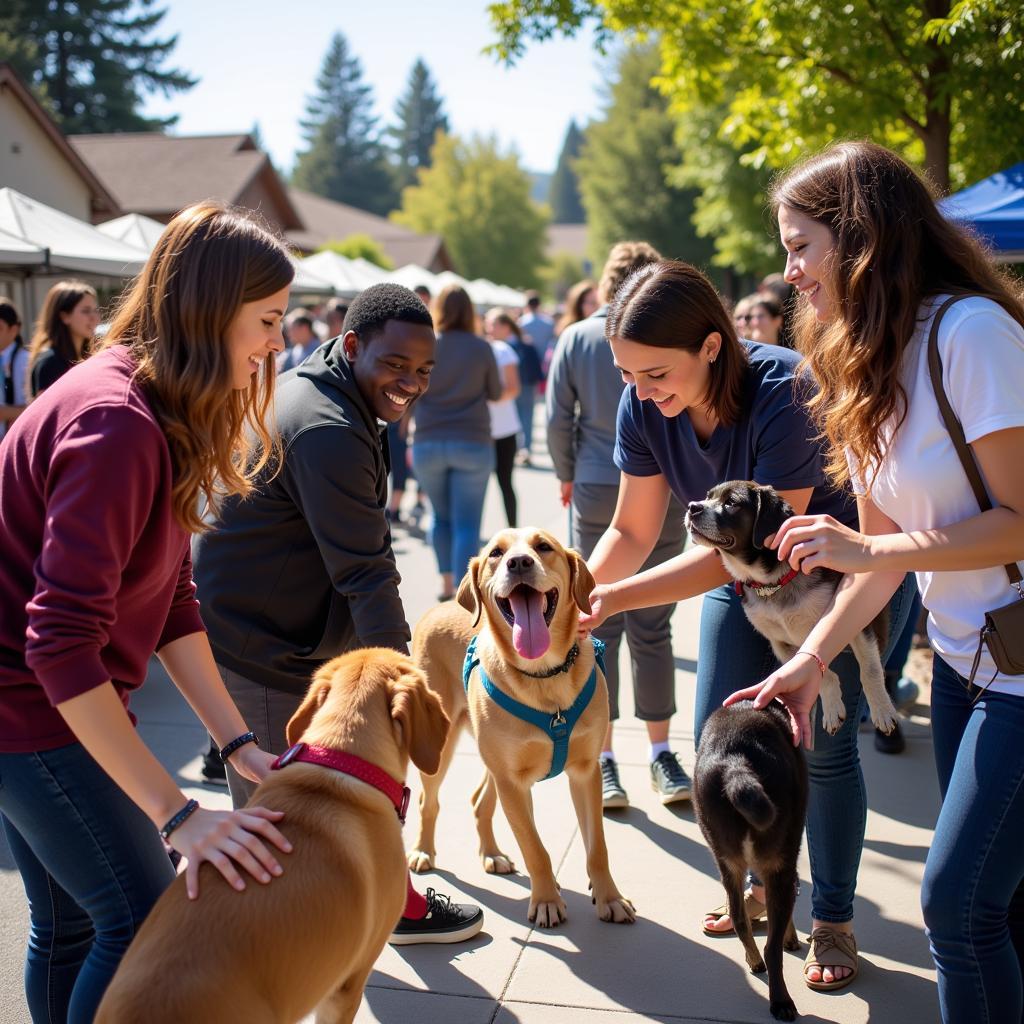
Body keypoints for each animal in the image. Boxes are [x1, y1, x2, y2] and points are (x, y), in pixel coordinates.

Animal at [405, 528, 630, 929]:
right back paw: (423, 850)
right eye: (495, 553)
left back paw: (492, 853)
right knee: (427, 801)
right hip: (442, 750)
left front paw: (610, 897)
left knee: (480, 801)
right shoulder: (513, 782)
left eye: (543, 547)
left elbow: (597, 846)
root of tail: (439, 606)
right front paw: (546, 900)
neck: (545, 675)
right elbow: (535, 848)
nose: (519, 563)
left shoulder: (585, 772)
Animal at [688, 479, 897, 737]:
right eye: (708, 497)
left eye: (732, 503)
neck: (773, 582)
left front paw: (881, 710)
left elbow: (869, 669)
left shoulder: (855, 618)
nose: (692, 507)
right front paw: (832, 707)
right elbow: (821, 673)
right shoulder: (781, 644)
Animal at [696, 700, 806, 1019]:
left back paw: (754, 960)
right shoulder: (782, 867)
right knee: (772, 948)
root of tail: (736, 763)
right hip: (780, 857)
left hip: (726, 860)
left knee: (738, 917)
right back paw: (781, 1001)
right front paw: (791, 938)